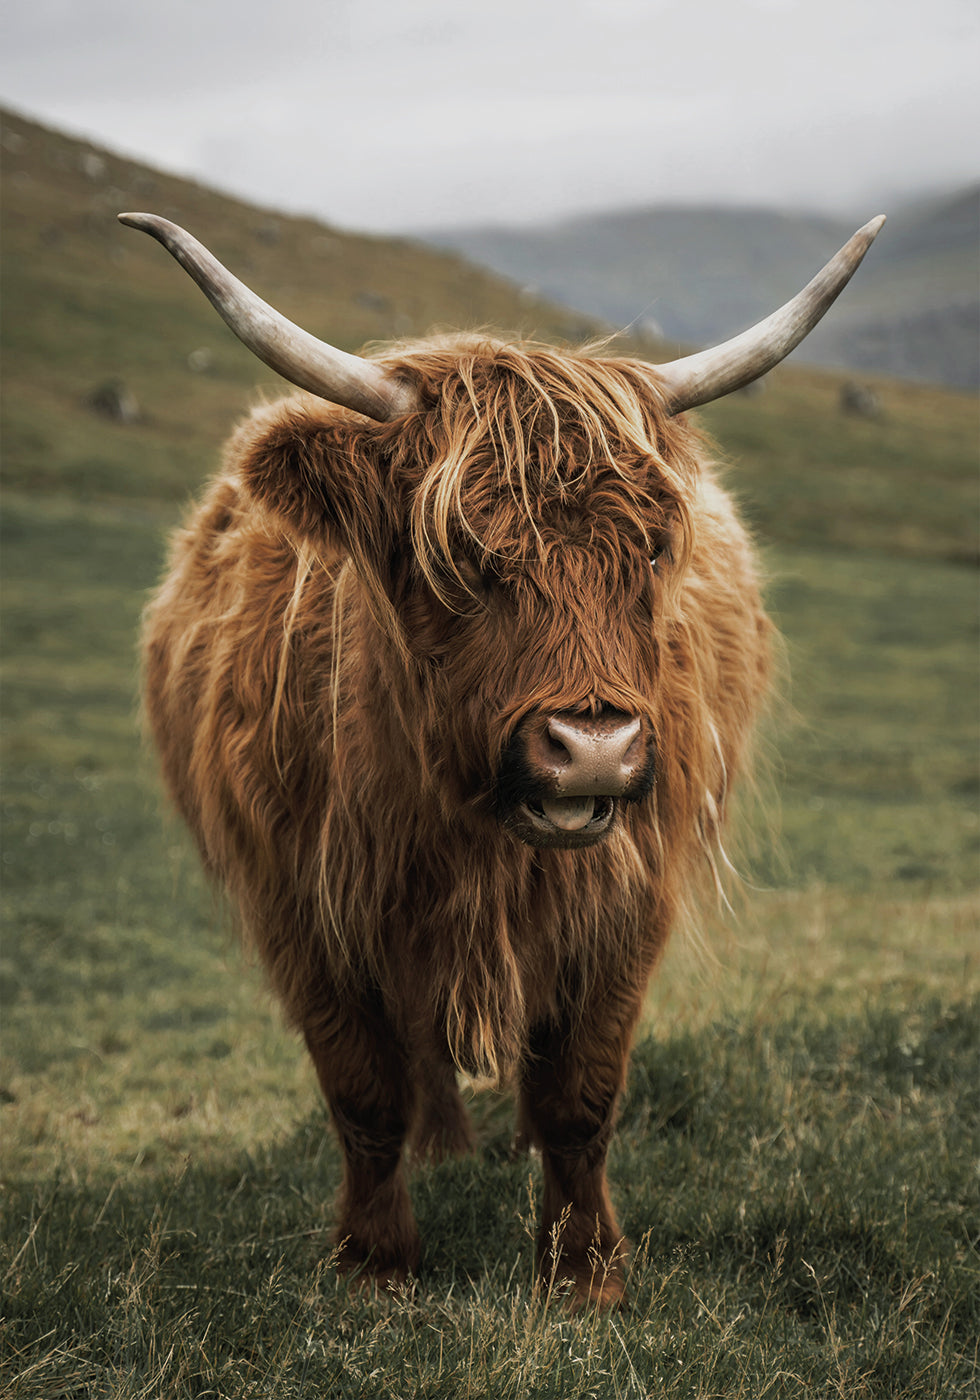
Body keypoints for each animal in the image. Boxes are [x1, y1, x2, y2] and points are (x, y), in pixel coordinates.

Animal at [124, 212, 890, 1304]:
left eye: (650, 549)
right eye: (459, 556)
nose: (593, 748)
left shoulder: (626, 901)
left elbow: (580, 1095)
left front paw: (584, 1270)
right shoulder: (300, 906)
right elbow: (363, 1093)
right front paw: (374, 1262)